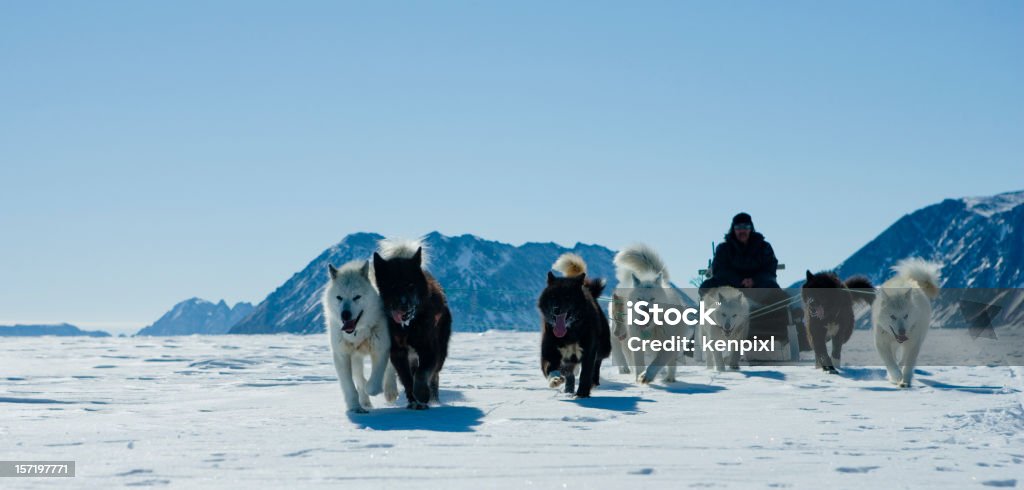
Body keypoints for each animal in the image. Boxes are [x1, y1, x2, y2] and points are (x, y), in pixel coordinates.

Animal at [321, 258, 397, 413]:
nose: (345, 314)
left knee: (389, 370)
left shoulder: (381, 349)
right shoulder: (342, 355)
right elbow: (350, 386)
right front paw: (355, 407)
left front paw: (375, 389)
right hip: (355, 358)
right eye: (339, 298)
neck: (358, 332)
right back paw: (365, 401)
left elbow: (373, 384)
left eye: (357, 297)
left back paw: (390, 391)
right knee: (358, 375)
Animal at [372, 238, 452, 411]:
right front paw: (413, 400)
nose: (404, 306)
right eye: (392, 286)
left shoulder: (429, 349)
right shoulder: (397, 352)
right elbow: (407, 378)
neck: (408, 326)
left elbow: (422, 375)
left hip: (441, 350)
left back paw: (434, 399)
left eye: (411, 285)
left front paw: (422, 394)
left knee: (434, 375)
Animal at [540, 253, 610, 398]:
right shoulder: (548, 351)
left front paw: (582, 393)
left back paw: (593, 382)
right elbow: (549, 368)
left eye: (567, 296)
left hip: (604, 347)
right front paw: (555, 380)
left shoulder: (589, 351)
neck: (569, 332)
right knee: (570, 373)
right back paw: (568, 389)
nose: (556, 309)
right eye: (553, 296)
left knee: (597, 363)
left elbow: (586, 373)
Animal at [610, 243, 684, 384]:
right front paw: (639, 377)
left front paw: (647, 376)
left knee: (671, 363)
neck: (651, 328)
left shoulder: (668, 344)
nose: (643, 309)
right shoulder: (636, 343)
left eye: (652, 299)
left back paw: (669, 378)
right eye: (639, 299)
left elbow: (657, 363)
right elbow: (639, 363)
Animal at [868, 258, 937, 388]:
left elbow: (907, 363)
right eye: (892, 316)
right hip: (893, 345)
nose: (902, 331)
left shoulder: (913, 343)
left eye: (906, 316)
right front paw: (896, 377)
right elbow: (890, 363)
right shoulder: (881, 343)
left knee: (903, 359)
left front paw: (905, 380)